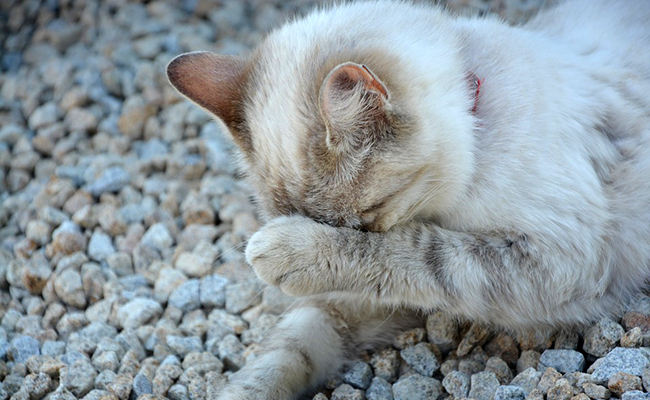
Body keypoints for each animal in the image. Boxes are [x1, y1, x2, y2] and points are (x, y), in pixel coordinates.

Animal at [166, 0, 648, 396]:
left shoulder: (558, 259)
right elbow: (286, 353)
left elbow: (418, 253)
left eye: (362, 220)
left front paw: (287, 251)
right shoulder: (353, 306)